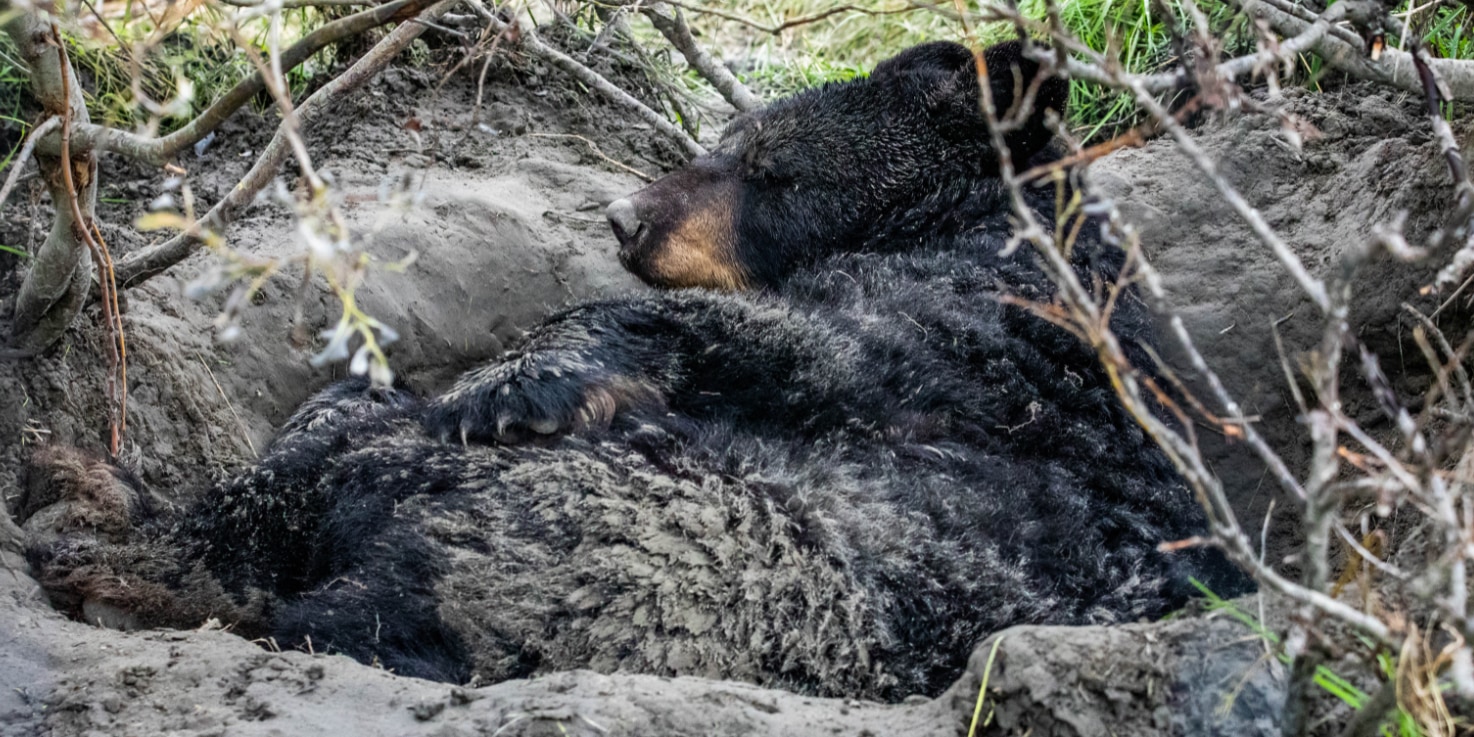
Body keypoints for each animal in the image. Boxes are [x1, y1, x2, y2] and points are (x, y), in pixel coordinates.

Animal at [17, 40, 1249, 701]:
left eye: (772, 165)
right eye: (732, 133)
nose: (622, 215)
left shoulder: (971, 335)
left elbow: (791, 342)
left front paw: (507, 380)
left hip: (609, 537)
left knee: (338, 483)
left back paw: (112, 530)